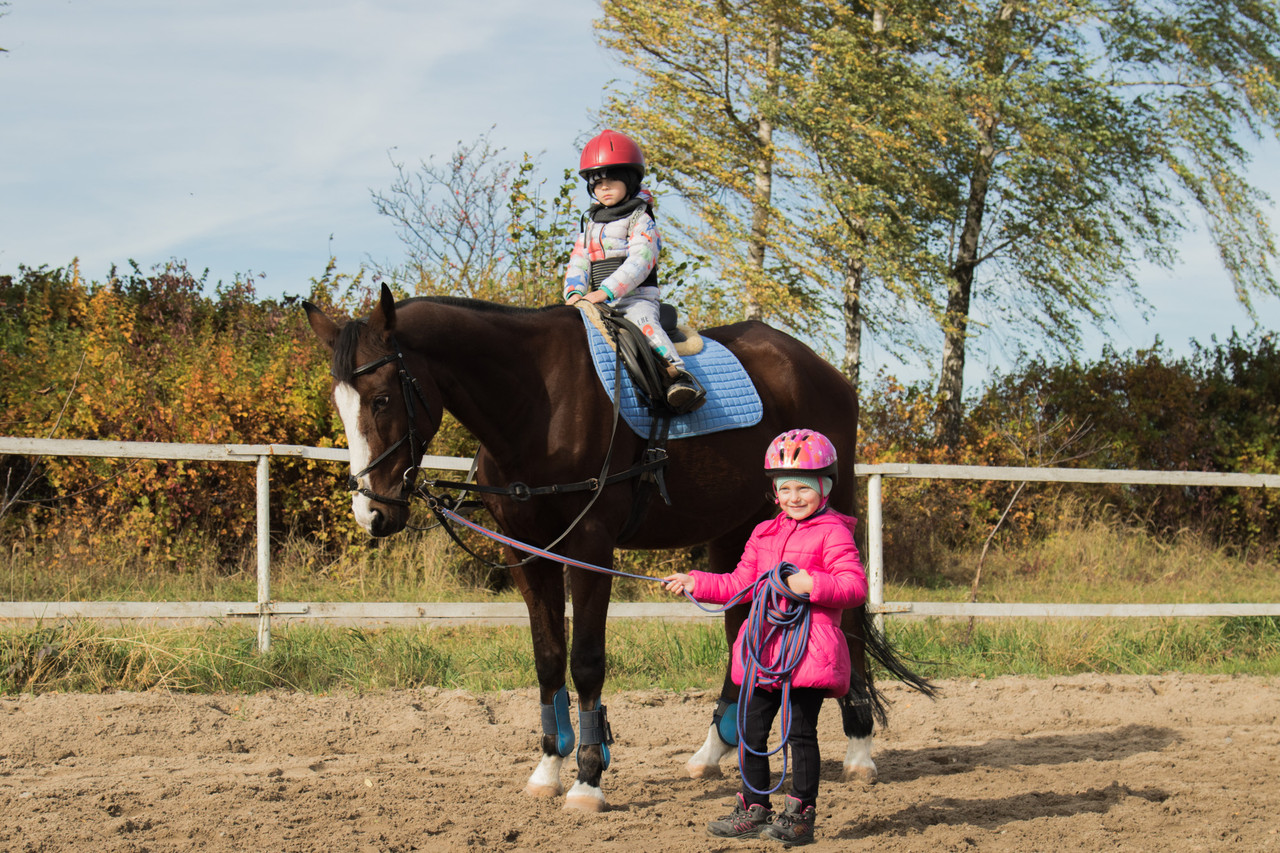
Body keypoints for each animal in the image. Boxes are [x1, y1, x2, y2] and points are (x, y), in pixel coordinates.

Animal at [309, 285, 931, 809]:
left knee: (847, 618)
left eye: (383, 399)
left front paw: (587, 778)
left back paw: (859, 752)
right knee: (743, 627)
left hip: (832, 514)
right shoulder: (527, 551)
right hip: (738, 530)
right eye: (341, 403)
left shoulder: (590, 547)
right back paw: (714, 751)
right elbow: (548, 658)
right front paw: (548, 769)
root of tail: (822, 370)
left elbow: (586, 661)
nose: (372, 513)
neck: (535, 403)